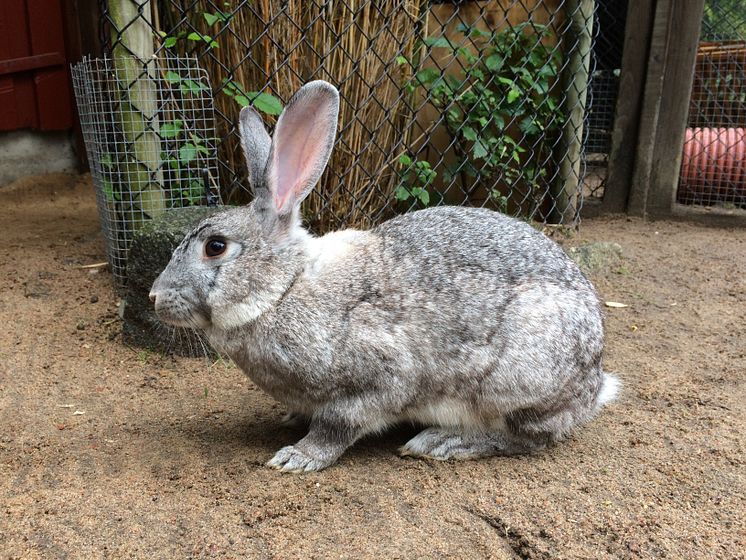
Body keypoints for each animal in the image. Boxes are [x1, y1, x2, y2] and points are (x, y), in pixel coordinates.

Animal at [150, 79, 616, 472]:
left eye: (215, 246)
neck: (285, 289)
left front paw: (296, 457)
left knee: (533, 437)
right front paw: (288, 419)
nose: (155, 297)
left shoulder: (376, 380)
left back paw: (444, 443)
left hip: (514, 382)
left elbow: (338, 426)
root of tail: (593, 386)